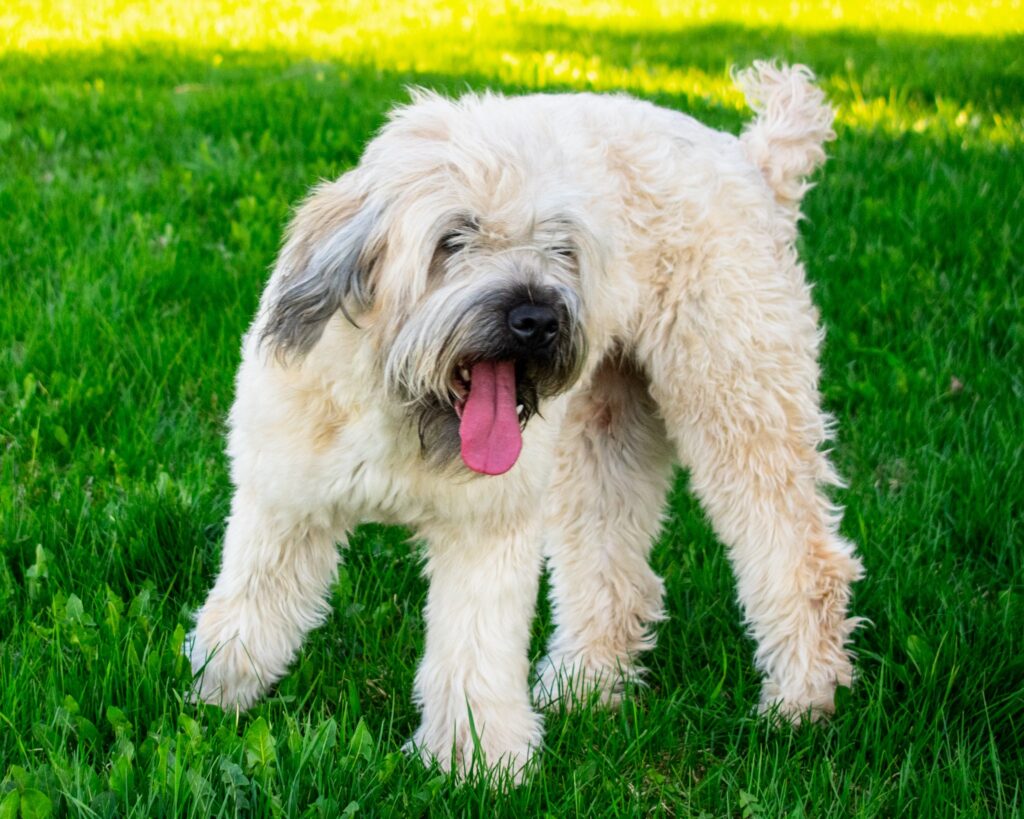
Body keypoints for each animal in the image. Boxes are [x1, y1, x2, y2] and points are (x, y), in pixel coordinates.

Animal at [186, 60, 864, 778]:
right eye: (453, 239)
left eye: (560, 246)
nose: (537, 319)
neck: (403, 408)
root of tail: (747, 158)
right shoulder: (285, 502)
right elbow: (250, 604)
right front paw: (217, 695)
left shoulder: (486, 526)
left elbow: (473, 649)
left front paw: (477, 762)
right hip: (604, 433)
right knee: (613, 571)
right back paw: (583, 684)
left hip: (739, 398)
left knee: (802, 557)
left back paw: (802, 698)